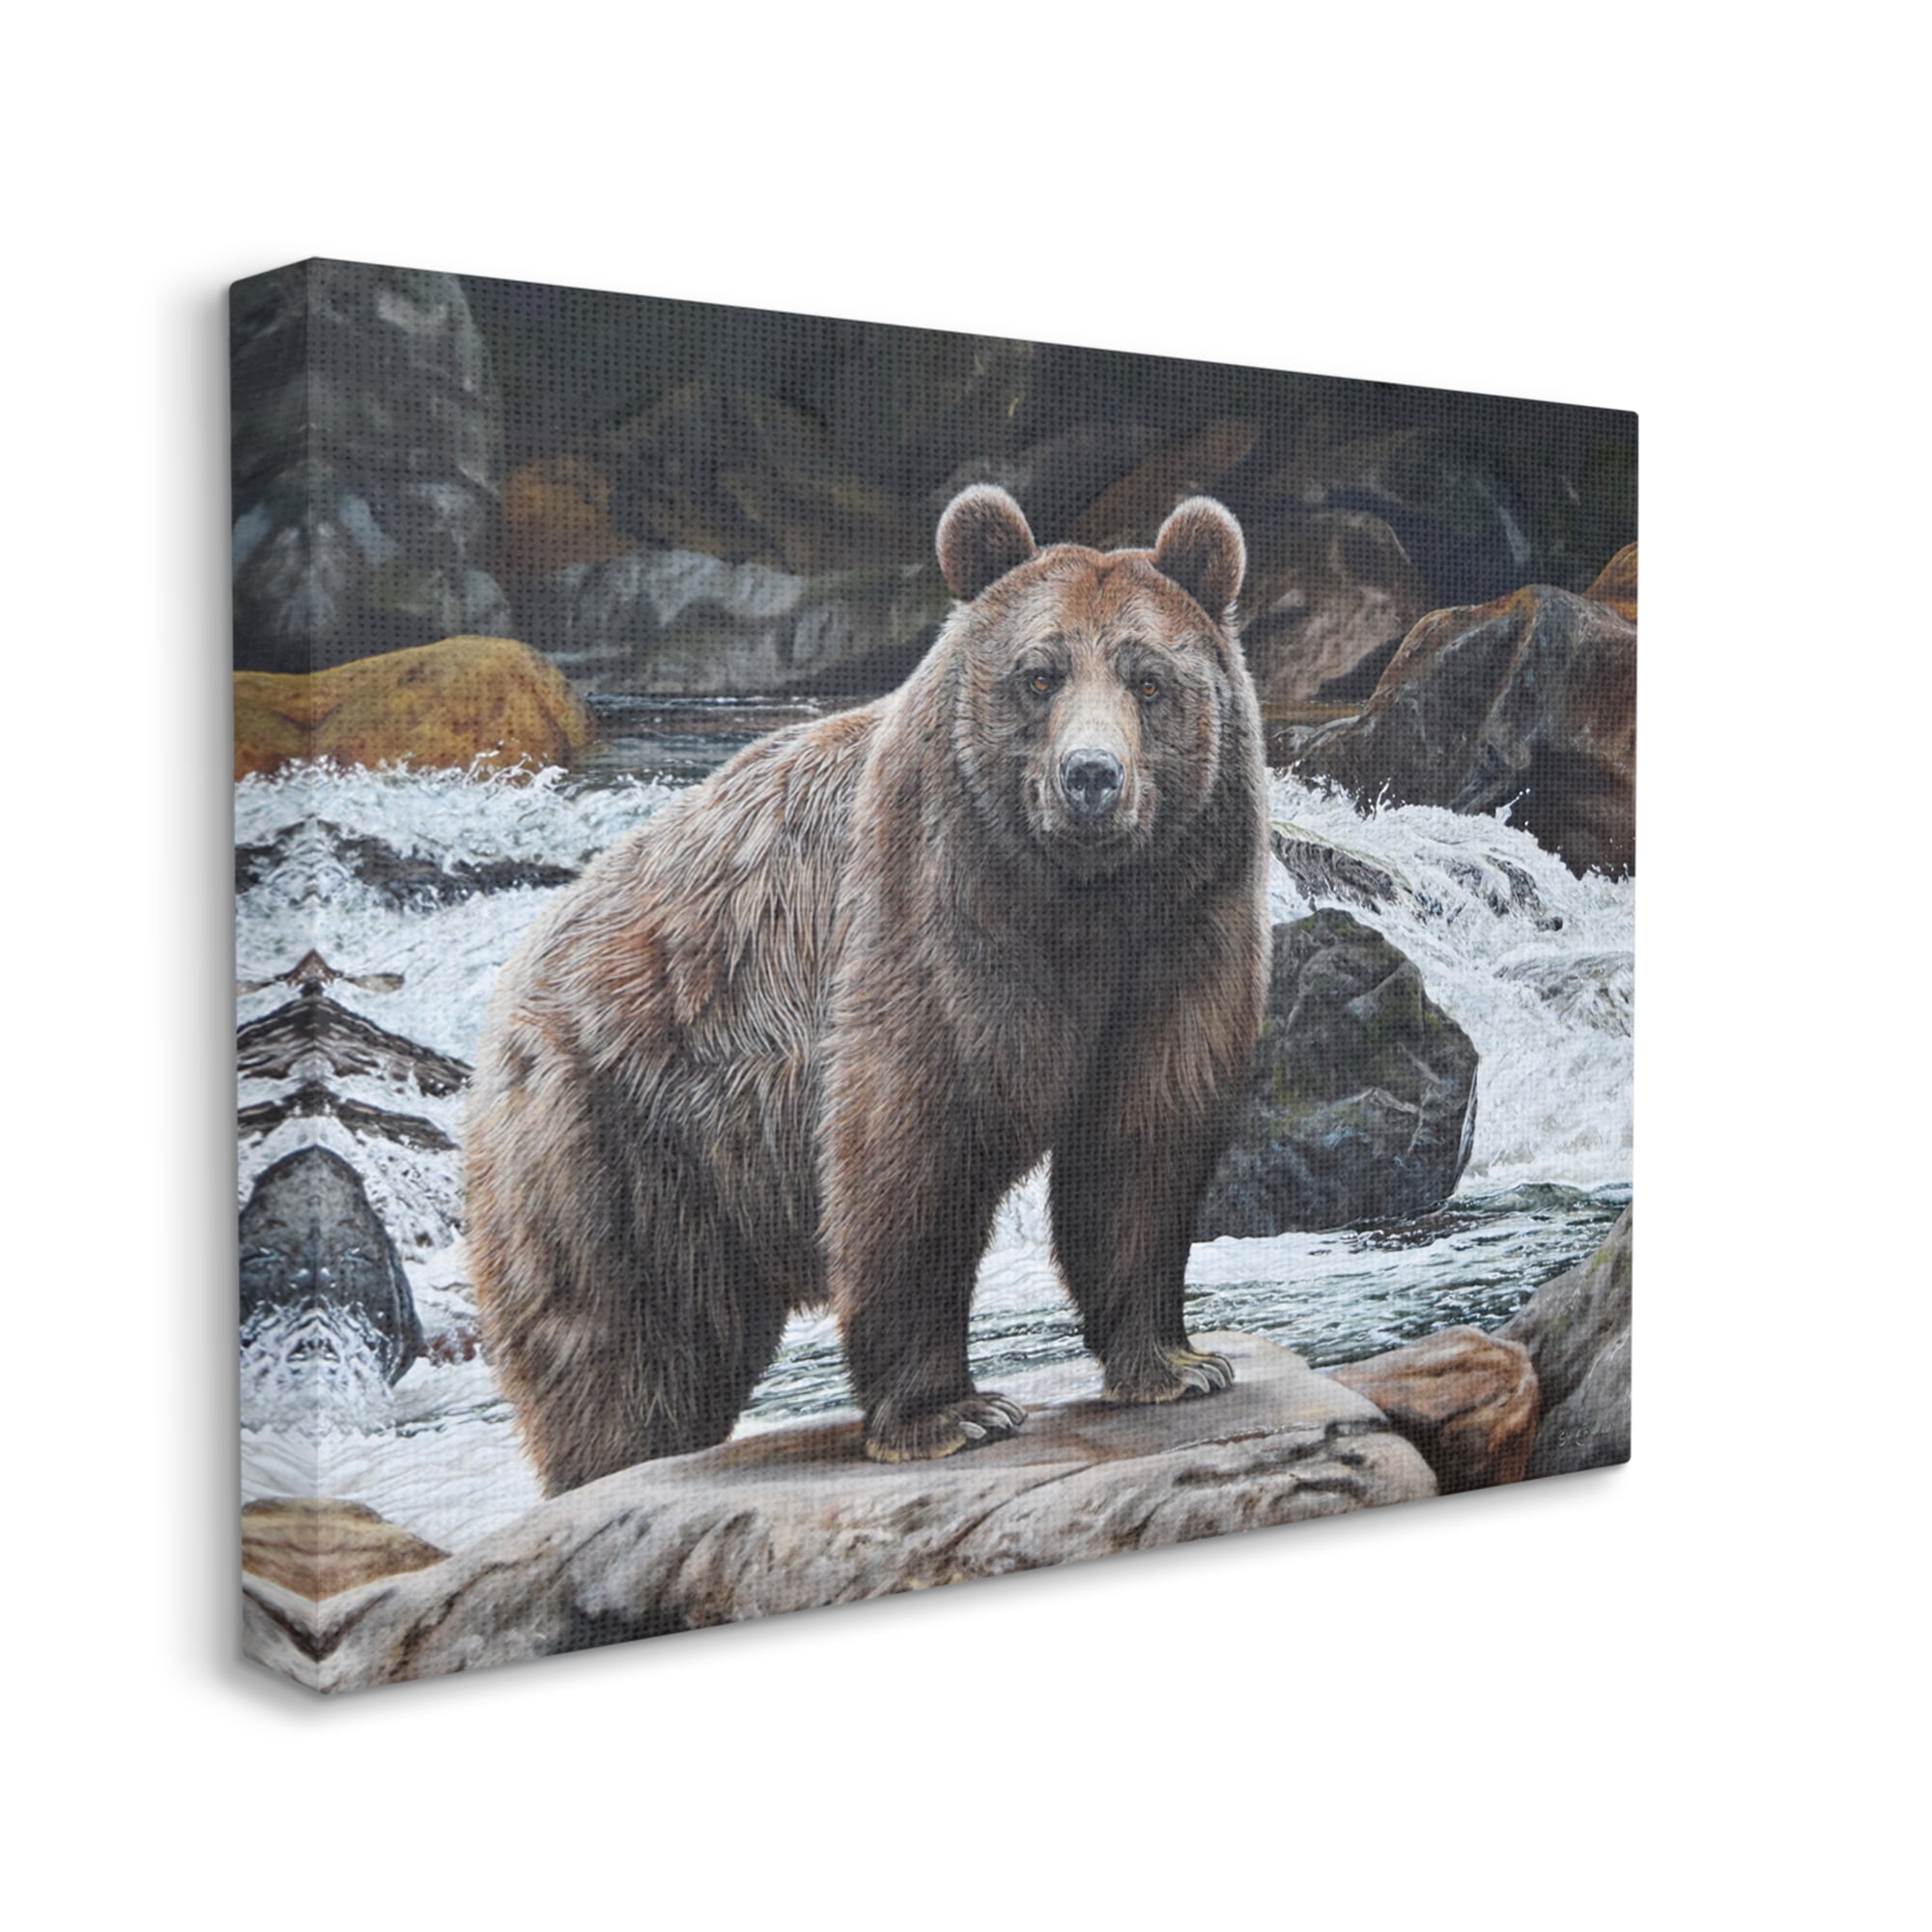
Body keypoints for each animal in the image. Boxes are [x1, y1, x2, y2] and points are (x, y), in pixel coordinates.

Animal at [464, 485, 1271, 1493]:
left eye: (1150, 681)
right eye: (1039, 677)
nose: (1091, 778)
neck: (1086, 901)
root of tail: (519, 971)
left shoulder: (1185, 936)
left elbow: (1142, 1143)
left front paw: (1175, 1363)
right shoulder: (935, 919)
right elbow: (913, 1148)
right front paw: (952, 1413)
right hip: (615, 1139)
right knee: (621, 1347)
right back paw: (614, 1465)